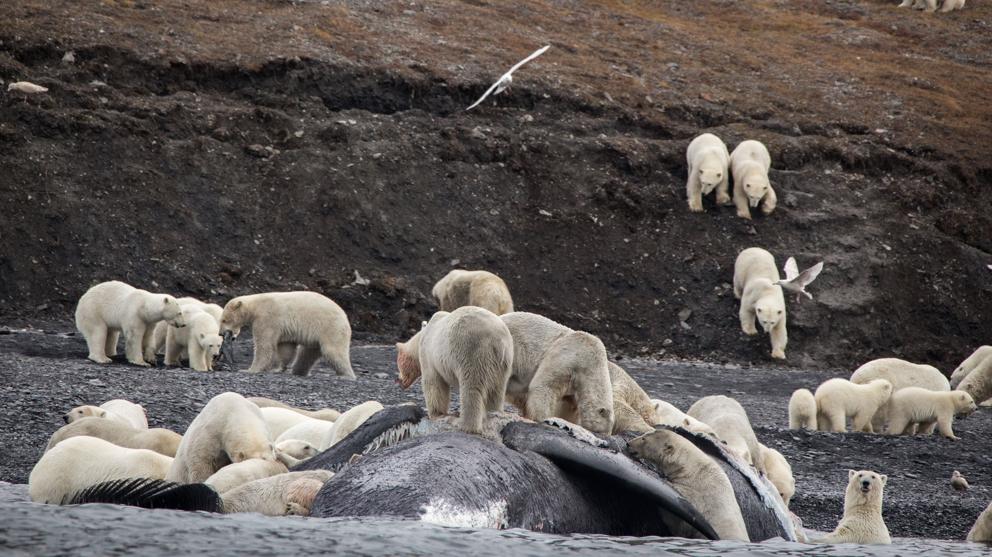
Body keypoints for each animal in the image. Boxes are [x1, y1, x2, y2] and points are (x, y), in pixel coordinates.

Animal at [219, 291, 354, 377]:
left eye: (224, 320)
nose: (221, 333)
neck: (256, 305)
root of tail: (345, 317)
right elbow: (286, 347)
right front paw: (278, 369)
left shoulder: (267, 317)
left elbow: (264, 345)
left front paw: (249, 370)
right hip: (317, 337)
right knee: (307, 354)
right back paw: (298, 371)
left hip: (330, 328)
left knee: (333, 351)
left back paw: (346, 375)